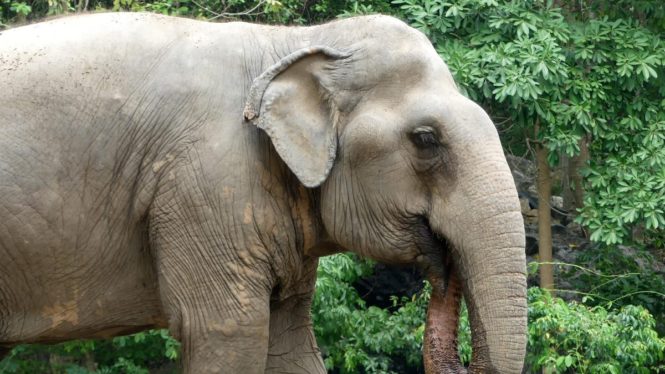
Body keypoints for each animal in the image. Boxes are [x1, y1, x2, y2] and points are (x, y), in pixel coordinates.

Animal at [0, 11, 528, 374]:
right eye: (425, 140)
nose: (443, 268)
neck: (293, 40)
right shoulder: (205, 183)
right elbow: (226, 329)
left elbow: (289, 339)